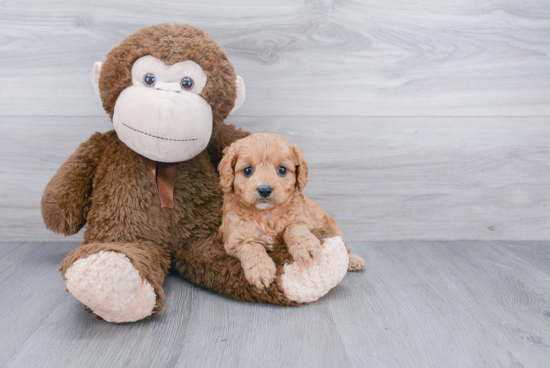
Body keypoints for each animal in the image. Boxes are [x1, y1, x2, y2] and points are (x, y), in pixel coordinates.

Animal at [219, 133, 366, 290]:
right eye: (247, 170)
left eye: (282, 170)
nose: (264, 190)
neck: (267, 213)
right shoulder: (235, 239)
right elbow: (252, 248)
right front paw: (260, 270)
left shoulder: (303, 219)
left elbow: (293, 227)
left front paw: (306, 248)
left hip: (333, 227)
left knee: (345, 247)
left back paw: (354, 260)